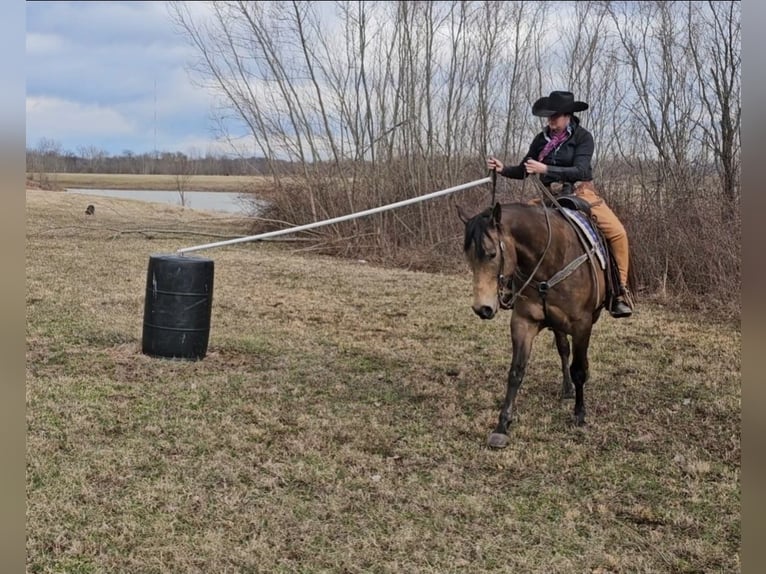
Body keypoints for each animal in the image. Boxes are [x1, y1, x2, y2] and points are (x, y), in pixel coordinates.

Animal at [457, 201, 608, 449]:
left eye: (492, 254)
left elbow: (579, 369)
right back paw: (567, 388)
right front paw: (502, 426)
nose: (482, 309)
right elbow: (516, 371)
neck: (551, 260)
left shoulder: (582, 325)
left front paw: (579, 414)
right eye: (468, 257)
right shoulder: (523, 323)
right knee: (563, 350)